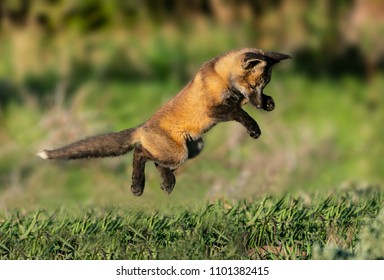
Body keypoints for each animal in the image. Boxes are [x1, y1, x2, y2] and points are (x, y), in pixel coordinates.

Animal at [36, 48, 292, 196]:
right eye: (252, 85)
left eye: (263, 86)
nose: (259, 104)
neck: (221, 78)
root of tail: (141, 127)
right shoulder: (215, 109)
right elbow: (240, 114)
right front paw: (254, 127)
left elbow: (242, 108)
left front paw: (269, 104)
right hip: (178, 153)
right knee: (140, 152)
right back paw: (138, 186)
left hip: (194, 149)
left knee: (157, 163)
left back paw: (166, 184)